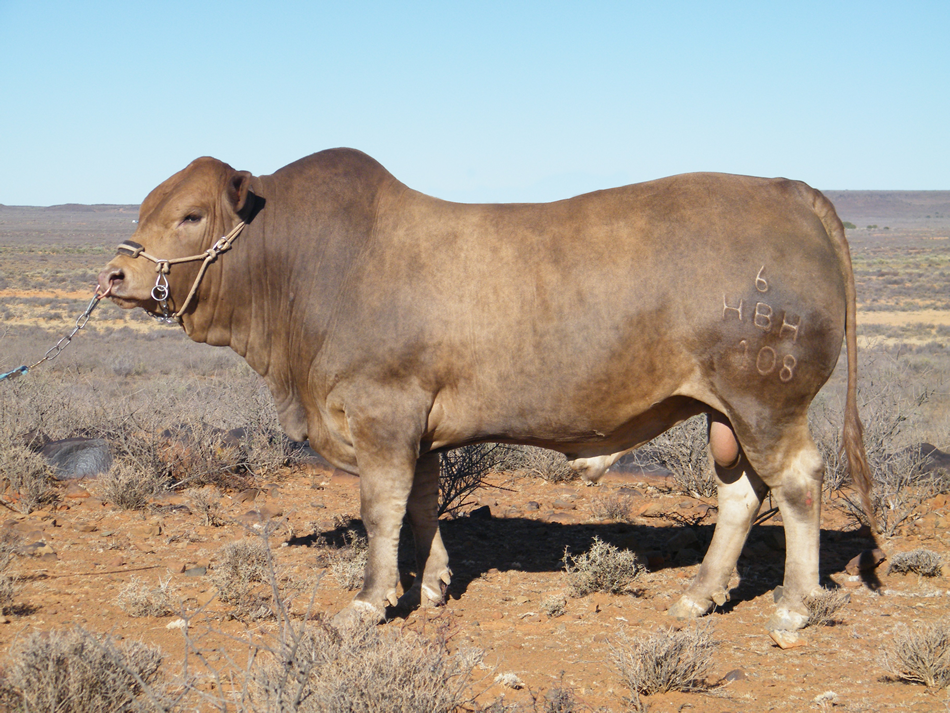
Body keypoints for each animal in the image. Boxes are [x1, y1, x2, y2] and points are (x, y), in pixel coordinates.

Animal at [98, 148, 872, 631]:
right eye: (144, 206)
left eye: (191, 215)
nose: (115, 274)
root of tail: (783, 188)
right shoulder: (418, 426)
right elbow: (420, 504)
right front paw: (433, 583)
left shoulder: (383, 411)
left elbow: (381, 510)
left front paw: (370, 601)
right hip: (725, 413)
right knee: (741, 493)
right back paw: (701, 594)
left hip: (765, 400)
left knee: (799, 481)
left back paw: (795, 605)